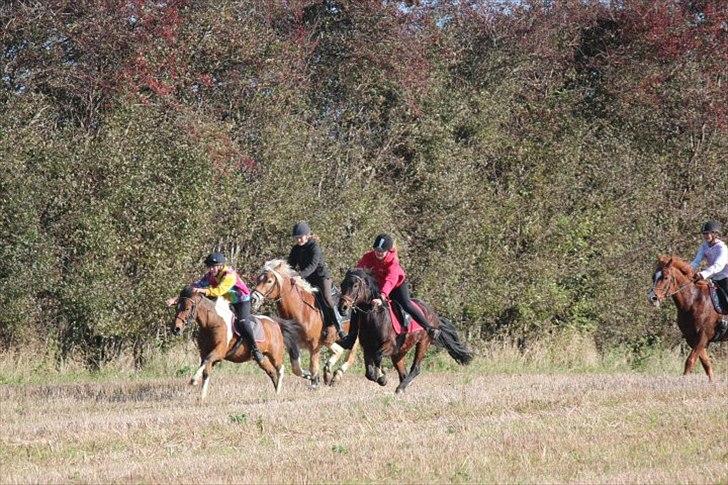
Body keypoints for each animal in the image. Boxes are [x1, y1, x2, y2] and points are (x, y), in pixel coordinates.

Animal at [172, 286, 300, 398]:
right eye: (176, 308)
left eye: (187, 308)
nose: (176, 329)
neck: (211, 323)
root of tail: (275, 322)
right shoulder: (204, 353)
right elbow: (206, 370)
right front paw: (202, 397)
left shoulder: (218, 352)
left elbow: (207, 361)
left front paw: (193, 380)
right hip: (262, 357)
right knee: (271, 371)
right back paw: (275, 392)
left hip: (275, 354)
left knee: (280, 370)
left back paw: (278, 392)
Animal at [250, 260, 358, 388]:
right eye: (258, 279)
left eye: (269, 281)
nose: (253, 299)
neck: (301, 310)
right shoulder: (293, 344)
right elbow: (296, 368)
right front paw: (310, 377)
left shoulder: (314, 344)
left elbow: (313, 366)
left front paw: (314, 383)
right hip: (329, 340)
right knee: (338, 350)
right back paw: (327, 372)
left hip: (353, 339)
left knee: (350, 357)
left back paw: (336, 375)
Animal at [336, 266, 472, 392]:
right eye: (342, 285)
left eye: (355, 285)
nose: (342, 307)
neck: (374, 317)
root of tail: (434, 315)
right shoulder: (367, 347)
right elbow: (368, 372)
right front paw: (378, 376)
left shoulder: (390, 345)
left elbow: (377, 356)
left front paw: (382, 377)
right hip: (400, 351)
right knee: (403, 373)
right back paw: (403, 386)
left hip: (423, 342)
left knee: (416, 368)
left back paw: (401, 388)